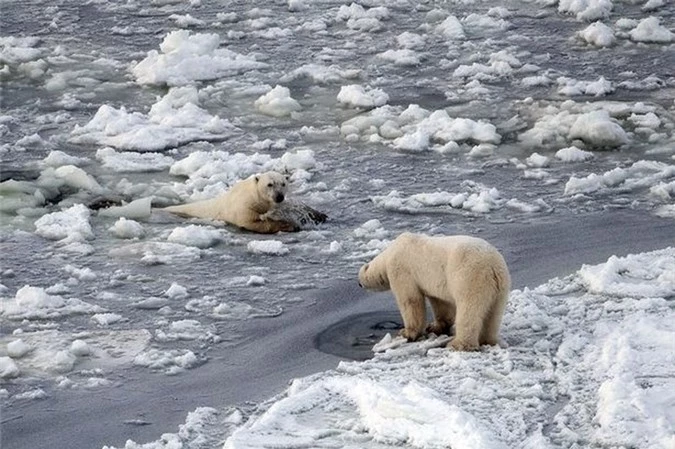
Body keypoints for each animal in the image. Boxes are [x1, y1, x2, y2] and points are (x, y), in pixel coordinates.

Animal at [168, 171, 328, 234]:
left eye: (283, 183)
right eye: (270, 184)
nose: (279, 196)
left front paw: (319, 214)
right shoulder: (244, 207)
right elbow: (252, 223)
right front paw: (289, 225)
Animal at [360, 233, 512, 352]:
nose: (359, 283)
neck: (390, 253)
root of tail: (492, 267)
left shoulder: (402, 270)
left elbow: (410, 300)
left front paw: (406, 332)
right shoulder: (436, 282)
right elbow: (441, 302)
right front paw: (435, 326)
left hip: (470, 278)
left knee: (469, 311)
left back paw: (458, 344)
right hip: (501, 288)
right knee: (493, 314)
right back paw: (487, 340)